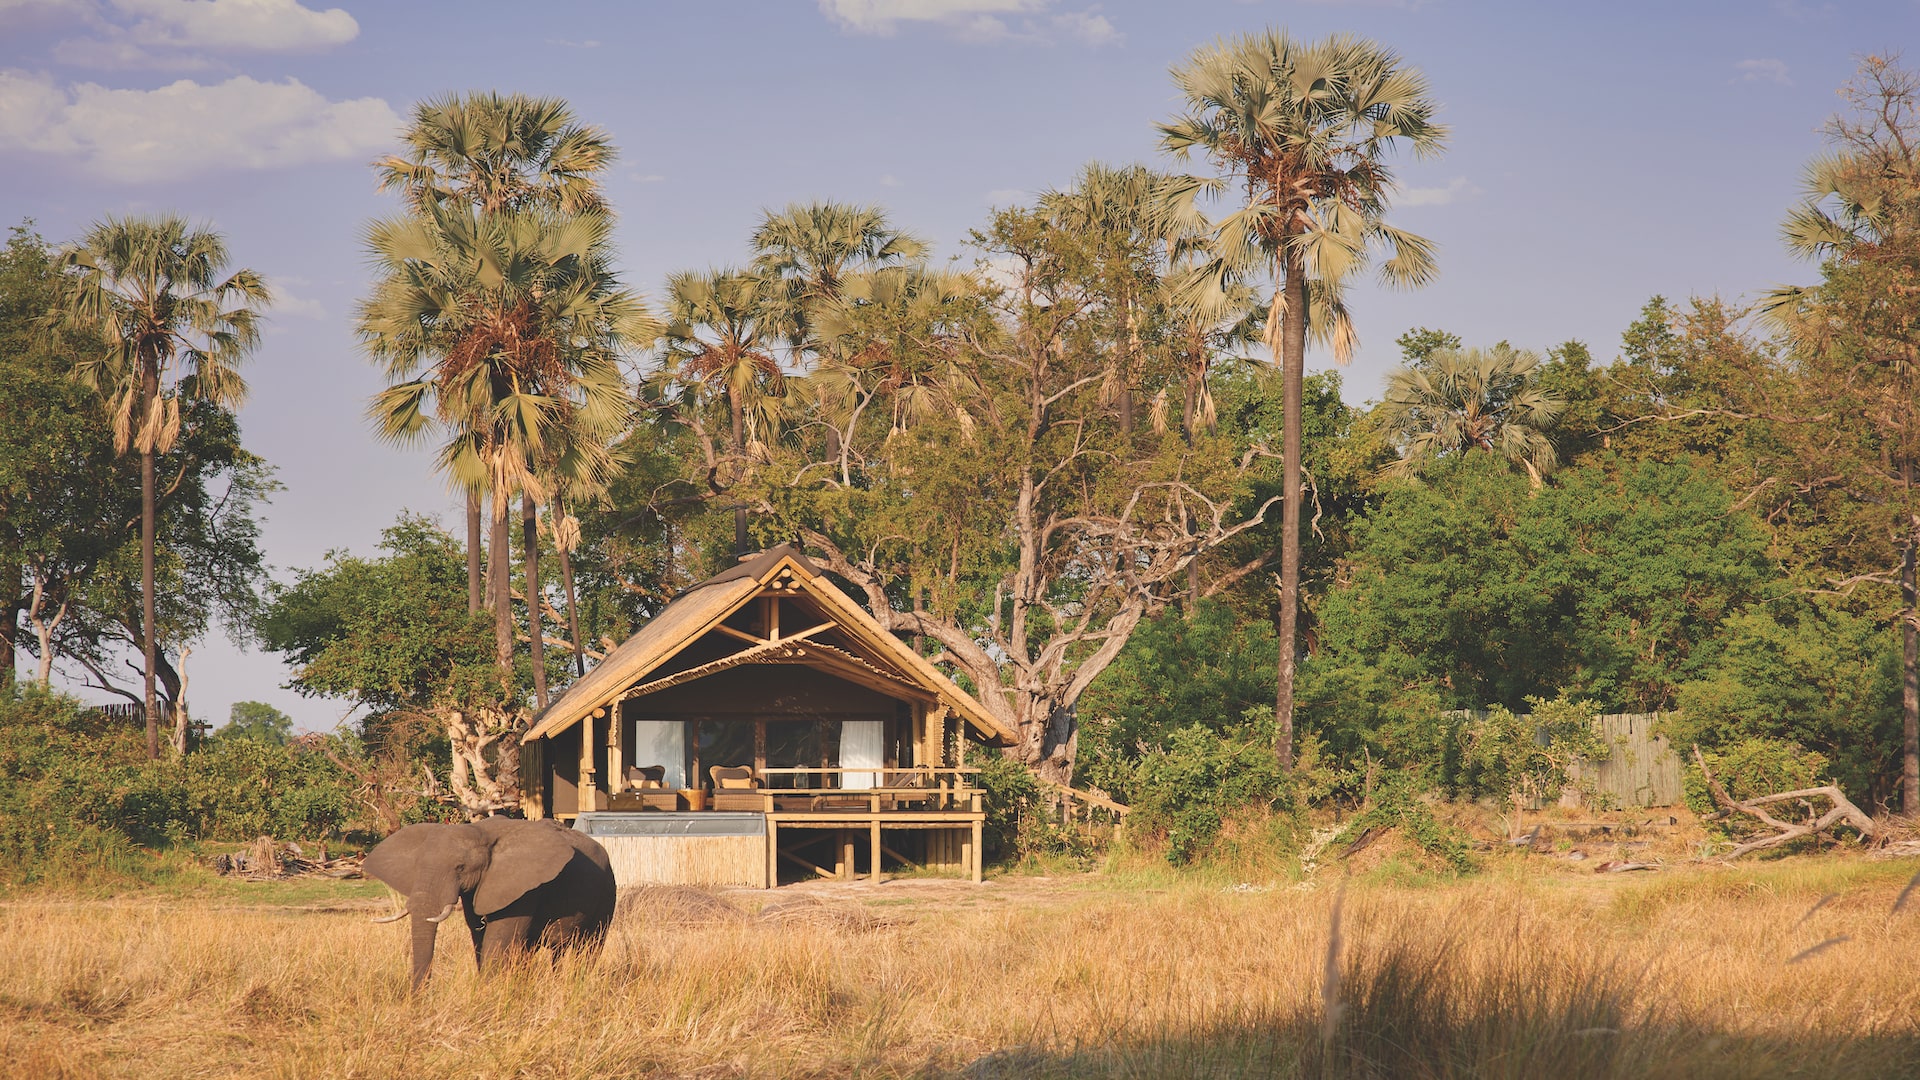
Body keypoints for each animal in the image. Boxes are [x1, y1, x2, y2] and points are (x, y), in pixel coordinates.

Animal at [362, 814, 618, 983]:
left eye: (460, 868)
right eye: (417, 865)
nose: (420, 999)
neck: (481, 832)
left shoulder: (523, 885)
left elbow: (498, 939)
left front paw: (488, 991)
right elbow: (479, 935)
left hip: (607, 892)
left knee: (590, 946)